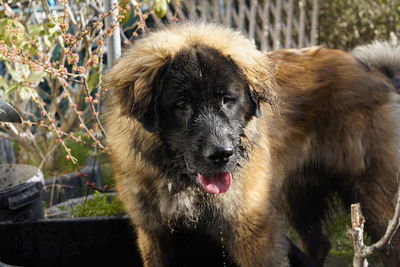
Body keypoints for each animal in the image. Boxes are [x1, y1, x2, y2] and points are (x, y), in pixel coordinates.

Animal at [104, 22, 400, 266]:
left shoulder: (252, 231)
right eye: (181, 105)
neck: (185, 184)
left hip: (374, 195)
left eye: (227, 99)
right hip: (299, 196)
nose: (221, 154)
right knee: (318, 242)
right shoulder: (158, 236)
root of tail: (377, 72)